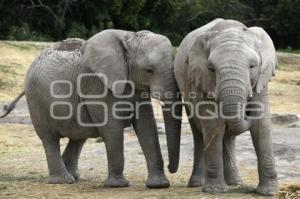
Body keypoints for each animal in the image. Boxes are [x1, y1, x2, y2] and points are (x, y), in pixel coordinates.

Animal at [175, 19, 278, 196]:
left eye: (252, 66)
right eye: (212, 69)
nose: (247, 109)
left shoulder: (261, 79)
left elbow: (261, 124)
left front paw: (268, 192)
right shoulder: (202, 79)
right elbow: (213, 125)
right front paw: (215, 190)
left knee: (228, 136)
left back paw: (234, 183)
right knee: (199, 132)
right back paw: (197, 184)